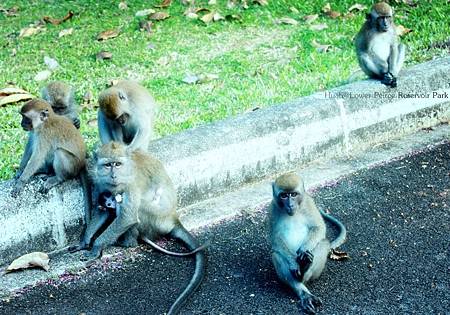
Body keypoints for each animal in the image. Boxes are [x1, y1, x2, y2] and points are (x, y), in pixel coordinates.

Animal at [69, 143, 207, 315]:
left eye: (118, 164)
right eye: (108, 165)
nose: (113, 176)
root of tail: (173, 218)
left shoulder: (130, 183)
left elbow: (128, 216)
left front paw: (96, 247)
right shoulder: (101, 182)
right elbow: (102, 210)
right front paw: (85, 241)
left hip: (155, 218)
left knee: (133, 208)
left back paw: (127, 243)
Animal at [268, 173, 346, 315]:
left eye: (293, 194)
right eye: (283, 195)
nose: (290, 204)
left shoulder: (309, 203)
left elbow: (319, 228)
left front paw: (303, 251)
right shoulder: (272, 208)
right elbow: (275, 239)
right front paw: (294, 264)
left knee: (323, 244)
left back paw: (305, 267)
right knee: (276, 255)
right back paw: (302, 290)